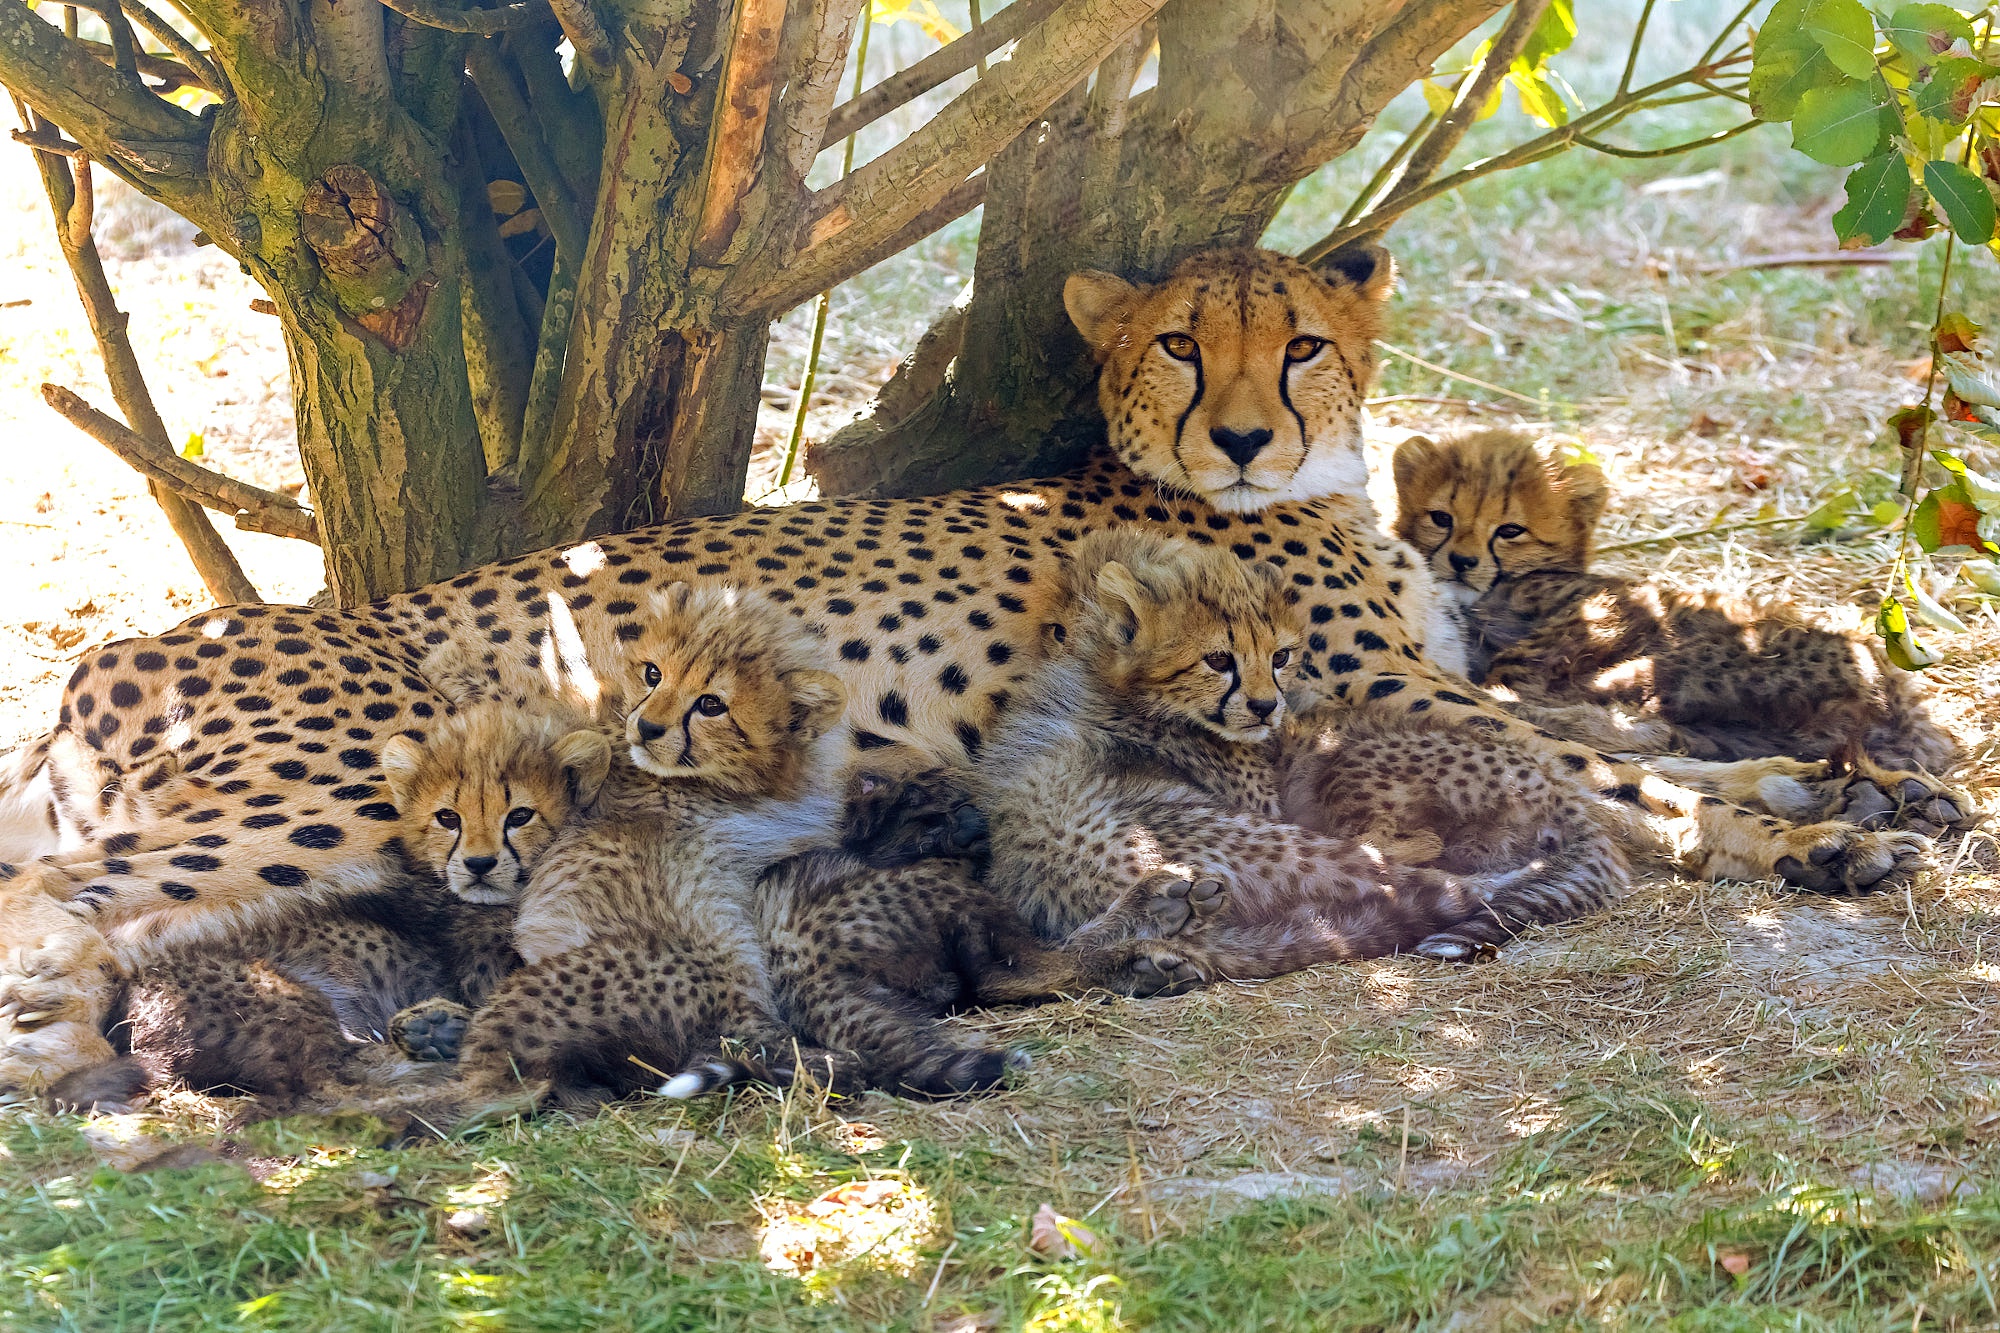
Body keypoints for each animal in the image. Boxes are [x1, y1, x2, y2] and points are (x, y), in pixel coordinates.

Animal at [3, 244, 1936, 1088]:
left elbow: (1625, 746)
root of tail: (117, 654)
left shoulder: (1423, 678)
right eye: (1184, 344)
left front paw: (1829, 777)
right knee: (55, 906)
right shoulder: (1370, 690)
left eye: (1300, 341)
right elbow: (1605, 774)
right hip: (336, 790)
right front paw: (1816, 834)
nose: (1245, 434)